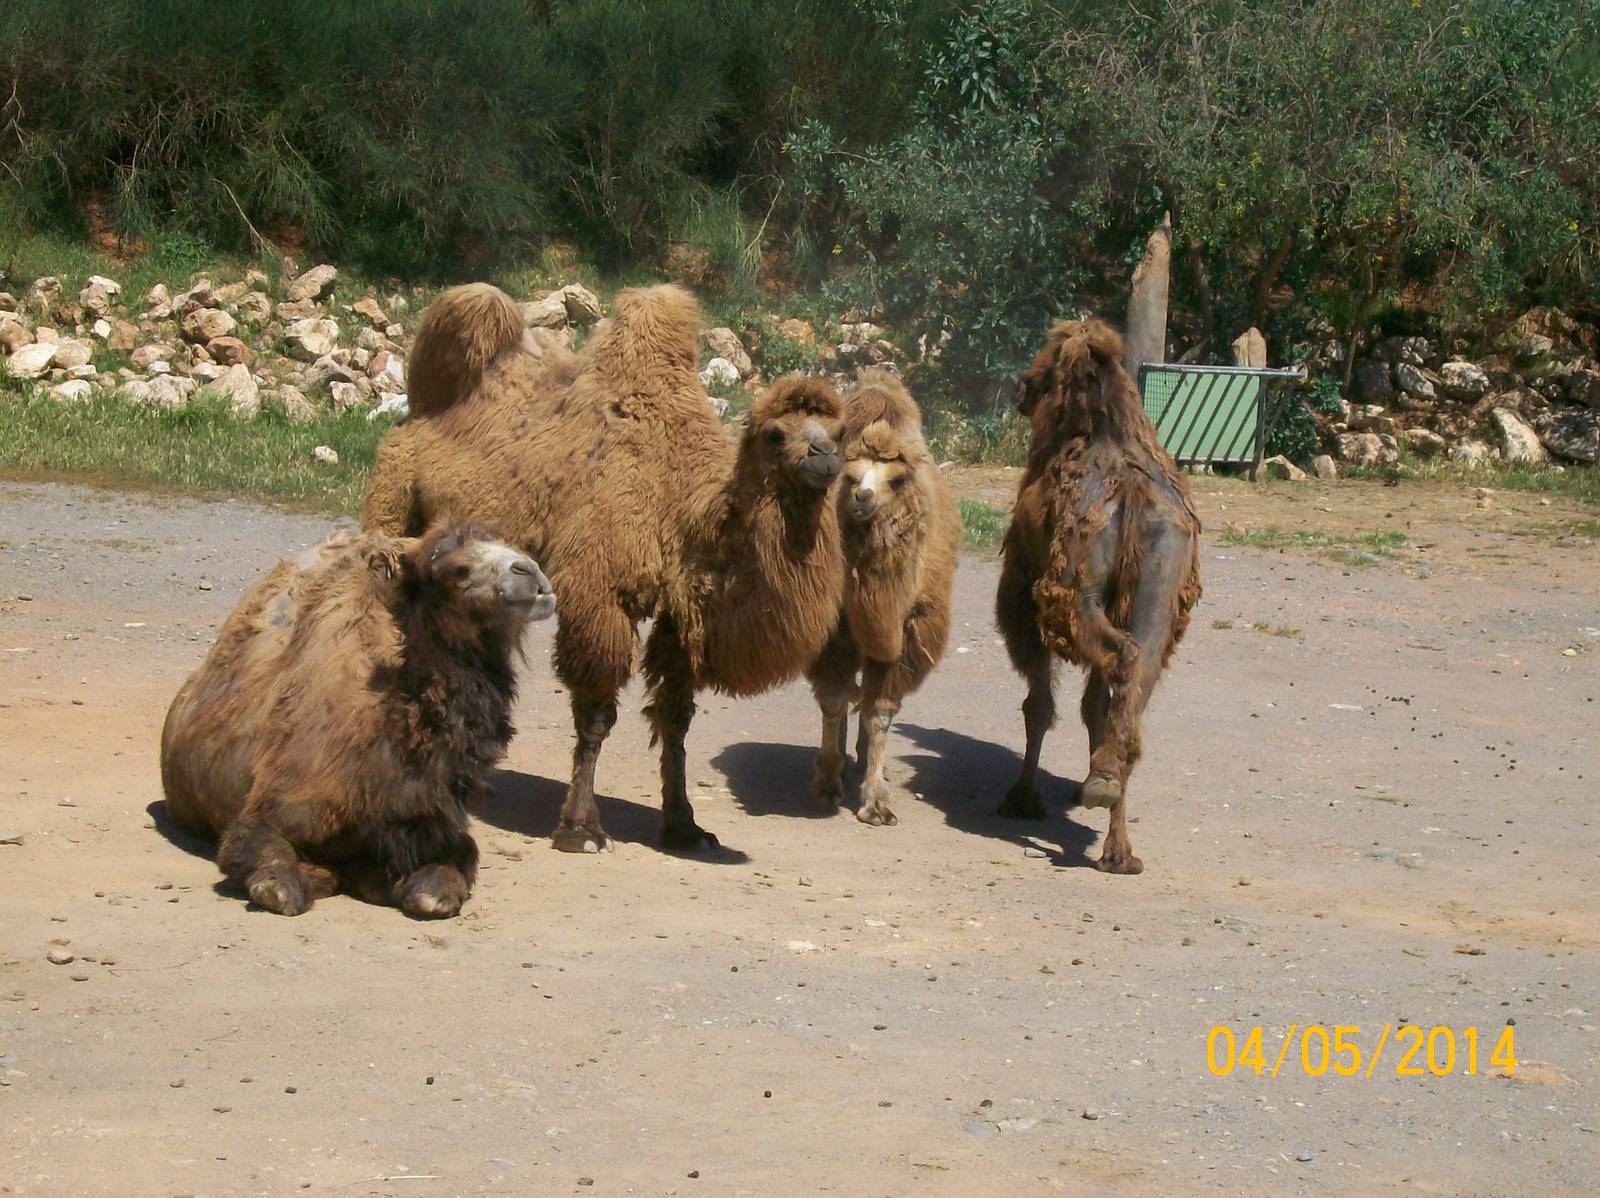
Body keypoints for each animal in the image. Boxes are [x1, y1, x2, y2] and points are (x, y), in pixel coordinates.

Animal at [160, 524, 555, 916]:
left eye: (515, 546)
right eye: (458, 570)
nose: (531, 574)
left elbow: (435, 892)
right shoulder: (273, 807)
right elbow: (274, 880)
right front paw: (300, 879)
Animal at [363, 282, 847, 852]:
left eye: (839, 430)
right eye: (775, 434)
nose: (823, 456)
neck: (681, 505)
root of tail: (415, 413)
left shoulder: (680, 616)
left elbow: (675, 719)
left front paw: (684, 825)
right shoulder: (599, 591)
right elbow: (596, 714)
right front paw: (581, 828)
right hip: (389, 499)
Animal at [806, 370, 960, 826]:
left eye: (896, 480)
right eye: (851, 477)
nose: (863, 498)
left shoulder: (905, 635)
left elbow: (880, 713)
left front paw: (876, 802)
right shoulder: (835, 631)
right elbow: (834, 700)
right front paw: (827, 783)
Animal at [995, 319, 1201, 874]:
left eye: (1045, 365)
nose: (1021, 385)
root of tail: (1129, 493)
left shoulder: (1025, 601)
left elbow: (1039, 705)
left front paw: (1022, 797)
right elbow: (1091, 706)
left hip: (1071, 595)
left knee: (1115, 661)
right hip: (1158, 593)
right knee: (1135, 677)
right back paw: (1116, 837)